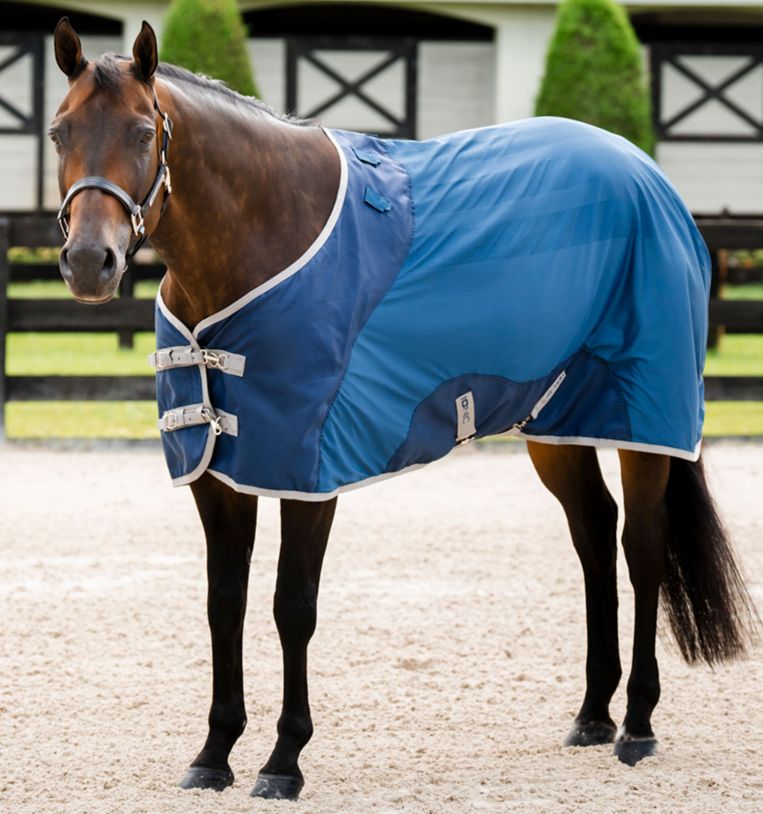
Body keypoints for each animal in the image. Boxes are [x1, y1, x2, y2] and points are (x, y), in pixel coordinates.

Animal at [51, 18, 757, 800]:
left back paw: (636, 725)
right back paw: (593, 715)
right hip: (557, 420)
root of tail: (648, 175)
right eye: (59, 131)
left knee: (641, 547)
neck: (263, 235)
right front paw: (214, 753)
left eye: (144, 132)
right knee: (594, 535)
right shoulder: (216, 470)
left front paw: (283, 760)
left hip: (644, 417)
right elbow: (223, 603)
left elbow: (291, 607)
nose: (89, 262)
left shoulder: (308, 469)